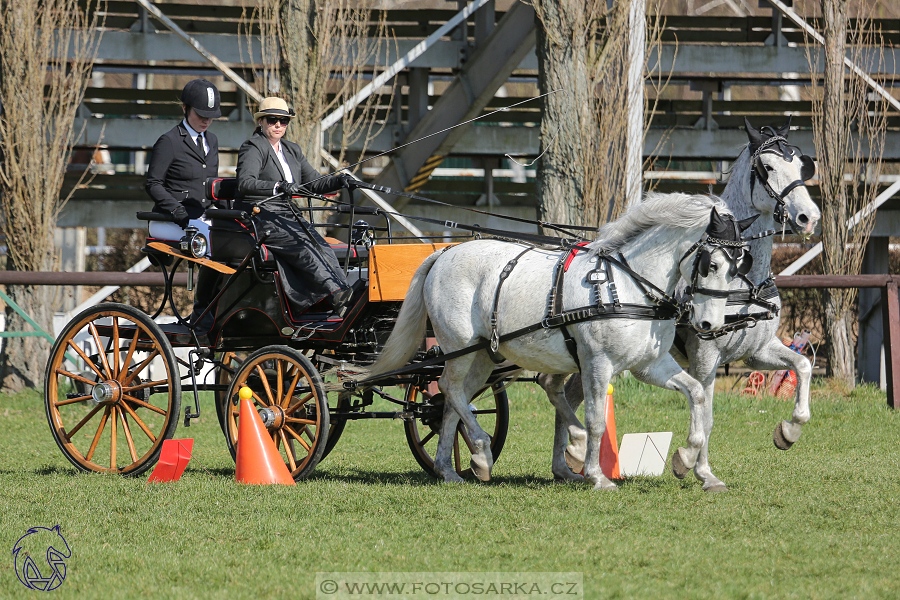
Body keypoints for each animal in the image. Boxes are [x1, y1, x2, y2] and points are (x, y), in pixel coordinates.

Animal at [366, 195, 752, 490]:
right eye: (711, 264)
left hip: (483, 355)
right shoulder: (598, 363)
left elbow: (697, 394)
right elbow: (596, 420)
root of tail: (444, 252)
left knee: (451, 400)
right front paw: (597, 474)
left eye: (738, 267)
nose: (710, 324)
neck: (628, 284)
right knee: (450, 388)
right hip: (458, 346)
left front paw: (687, 460)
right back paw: (481, 449)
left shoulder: (650, 364)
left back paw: (453, 468)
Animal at [556, 118, 824, 492]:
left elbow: (802, 366)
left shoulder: (757, 351)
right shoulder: (705, 359)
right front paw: (698, 469)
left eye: (801, 166)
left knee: (566, 393)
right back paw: (571, 458)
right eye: (768, 168)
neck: (744, 283)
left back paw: (567, 462)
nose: (808, 218)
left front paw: (788, 431)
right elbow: (706, 414)